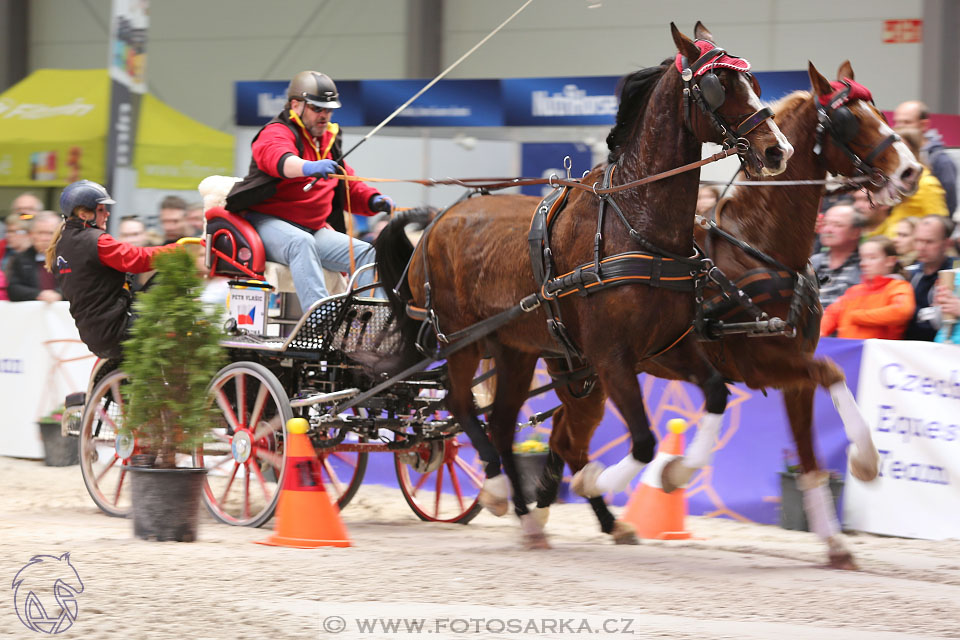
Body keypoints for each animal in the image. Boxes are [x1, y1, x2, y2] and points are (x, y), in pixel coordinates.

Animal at [376, 22, 796, 548]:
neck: (633, 223)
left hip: (516, 349)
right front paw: (594, 481)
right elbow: (642, 440)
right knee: (460, 404)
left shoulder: (668, 347)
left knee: (501, 421)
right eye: (717, 86)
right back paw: (495, 490)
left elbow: (717, 394)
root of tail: (436, 222)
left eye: (753, 80)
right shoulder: (610, 357)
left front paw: (676, 473)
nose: (778, 150)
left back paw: (527, 516)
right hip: (460, 340)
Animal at [536, 62, 920, 568]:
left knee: (564, 438)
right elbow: (834, 370)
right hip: (588, 370)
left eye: (877, 110)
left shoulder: (794, 370)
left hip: (591, 376)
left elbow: (811, 455)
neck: (760, 249)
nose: (912, 170)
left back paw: (557, 516)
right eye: (848, 120)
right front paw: (866, 461)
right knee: (564, 438)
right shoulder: (759, 362)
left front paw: (836, 543)